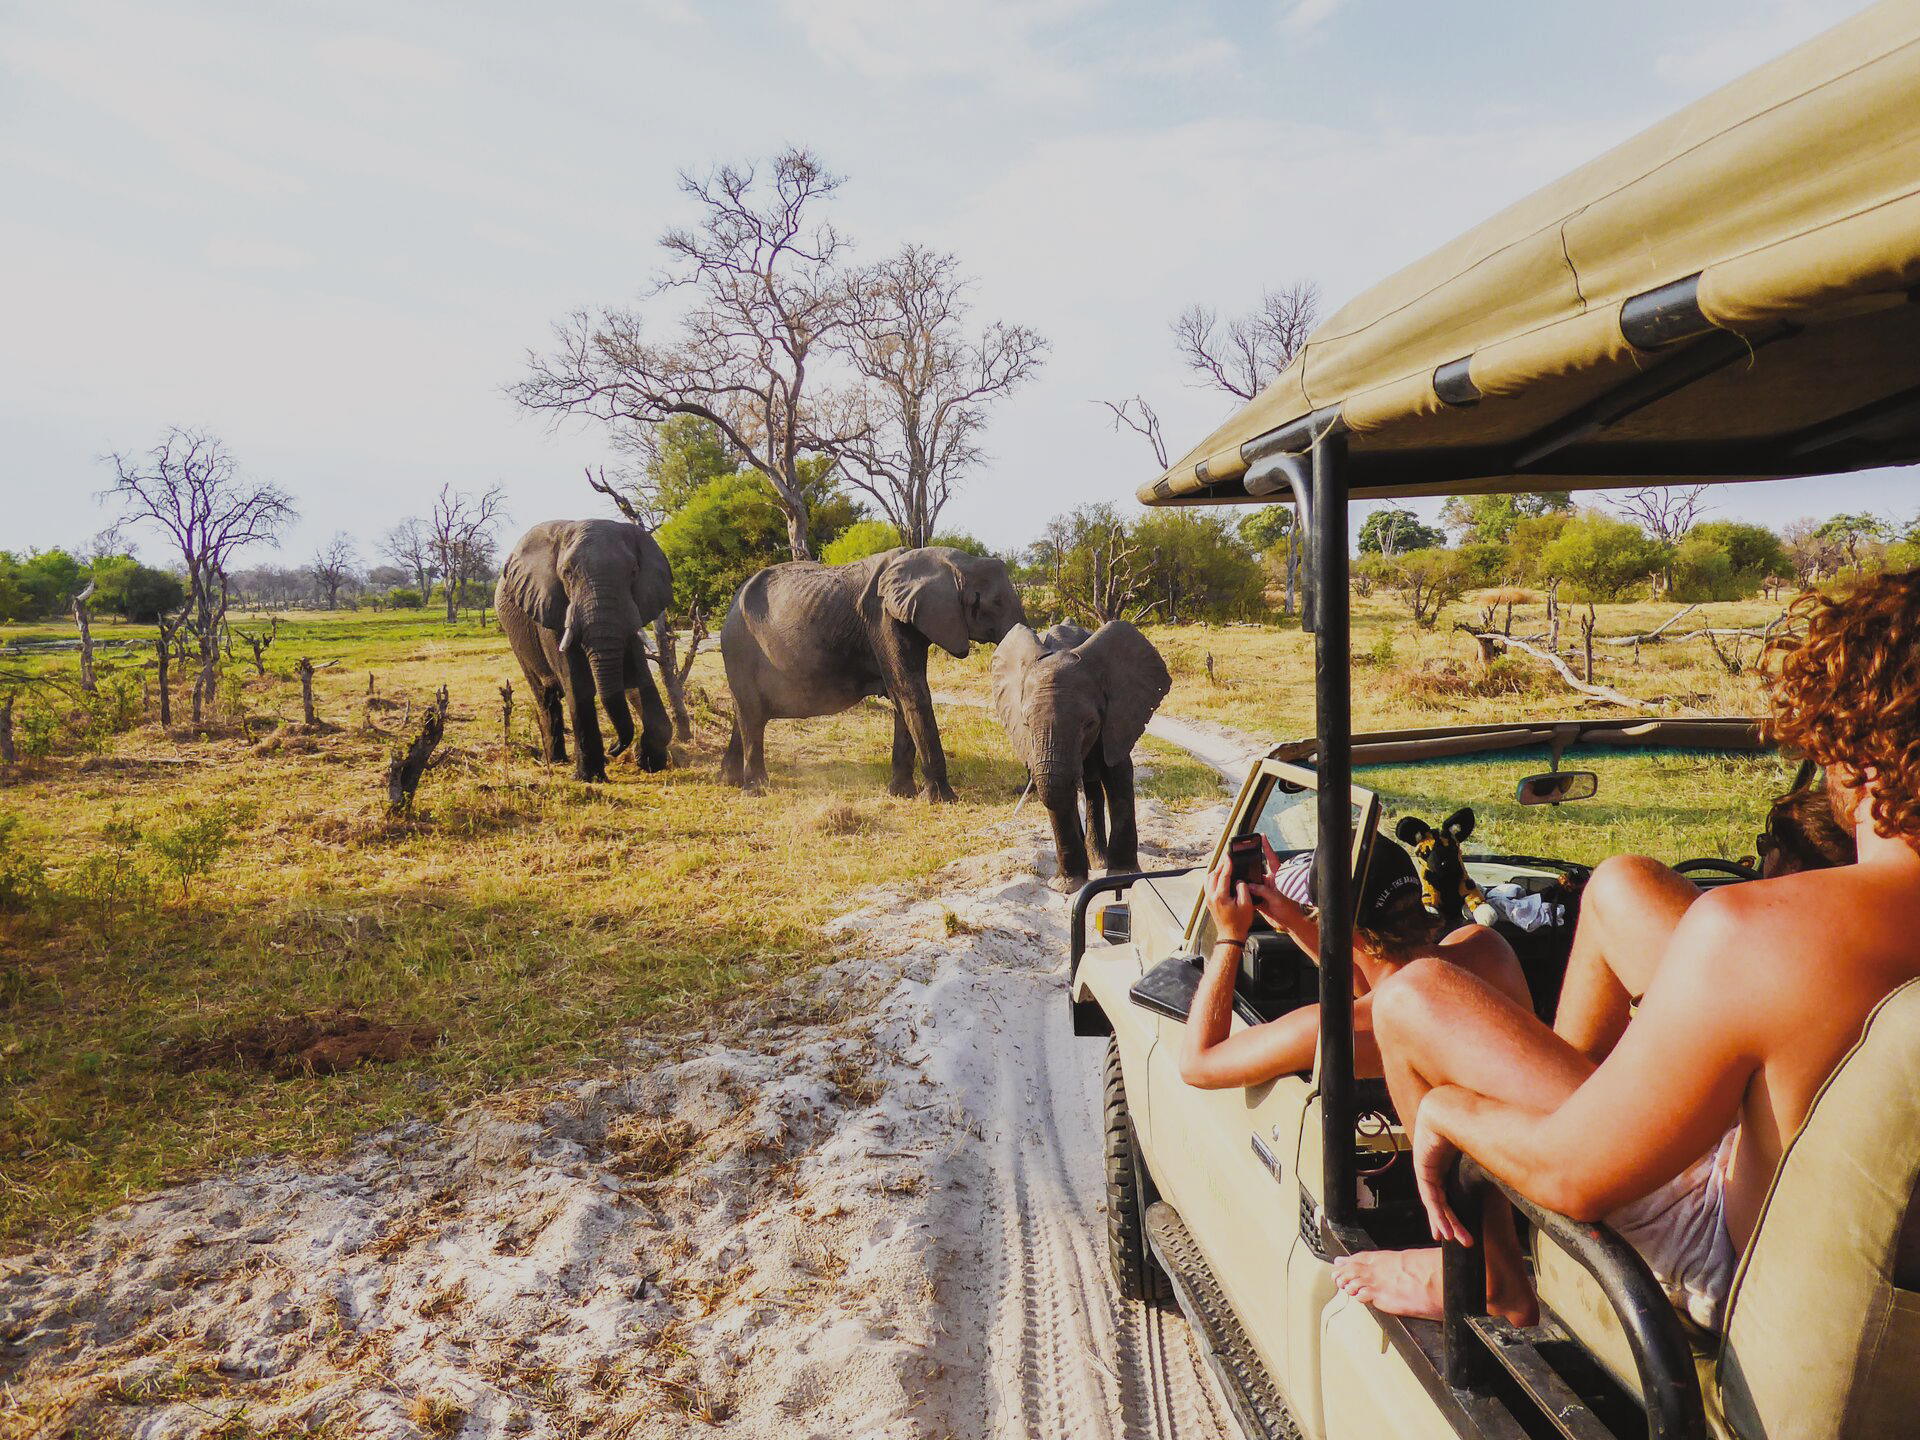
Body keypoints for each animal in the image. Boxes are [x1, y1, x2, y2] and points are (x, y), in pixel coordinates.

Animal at [496, 519, 673, 783]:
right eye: (567, 574)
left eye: (633, 572)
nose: (614, 748)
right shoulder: (551, 607)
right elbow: (577, 684)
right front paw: (589, 778)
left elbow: (639, 677)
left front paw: (648, 760)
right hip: (515, 636)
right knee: (545, 695)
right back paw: (557, 760)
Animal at [720, 546, 1027, 799]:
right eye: (986, 602)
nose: (1019, 788)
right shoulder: (883, 619)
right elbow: (912, 693)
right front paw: (943, 799)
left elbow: (903, 699)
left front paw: (902, 794)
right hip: (740, 648)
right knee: (751, 715)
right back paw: (756, 790)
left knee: (743, 714)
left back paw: (729, 780)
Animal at [991, 620, 1171, 892]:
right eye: (1026, 723)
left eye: (1089, 724)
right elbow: (1057, 795)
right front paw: (1067, 886)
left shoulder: (1119, 718)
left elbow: (1119, 779)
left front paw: (1123, 873)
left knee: (1094, 789)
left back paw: (1099, 861)